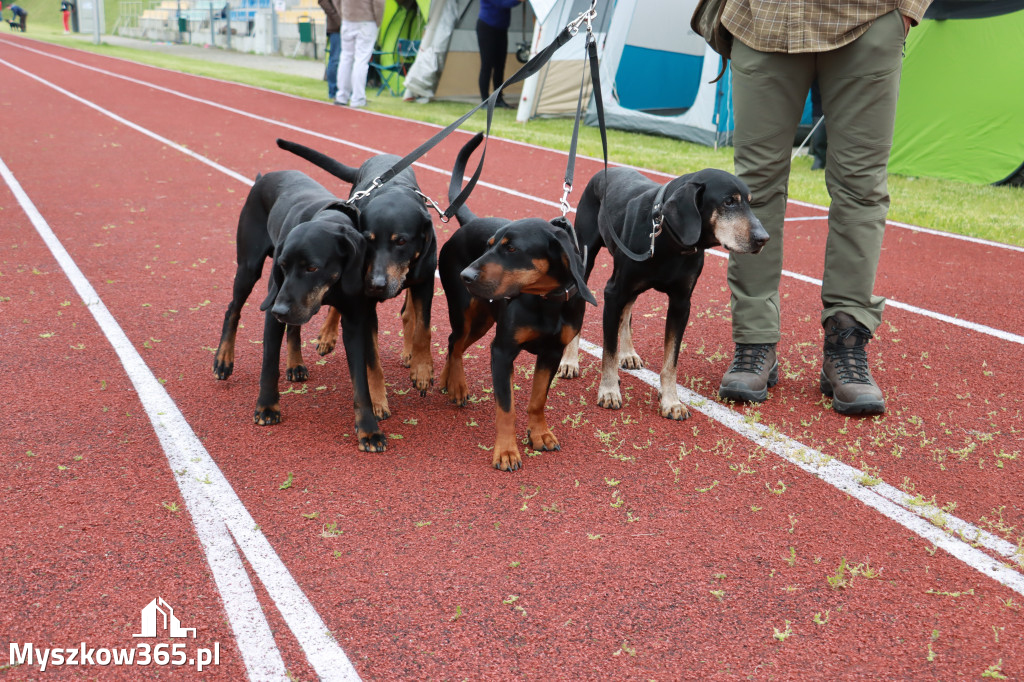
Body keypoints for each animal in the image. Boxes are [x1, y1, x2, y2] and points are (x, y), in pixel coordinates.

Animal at [211, 173, 387, 450]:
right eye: (282, 265)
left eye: (312, 268)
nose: (280, 309)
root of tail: (264, 176)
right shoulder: (273, 308)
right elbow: (269, 365)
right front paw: (267, 407)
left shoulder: (354, 321)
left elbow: (361, 383)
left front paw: (369, 430)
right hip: (249, 268)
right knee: (233, 310)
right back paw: (223, 359)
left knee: (293, 326)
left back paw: (295, 363)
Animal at [276, 138, 436, 417]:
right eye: (368, 241)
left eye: (401, 241)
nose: (376, 285)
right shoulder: (365, 304)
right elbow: (372, 360)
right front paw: (377, 400)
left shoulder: (425, 281)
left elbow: (423, 328)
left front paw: (422, 368)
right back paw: (327, 335)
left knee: (410, 313)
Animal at [436, 135, 598, 471]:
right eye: (488, 246)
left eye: (511, 249)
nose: (466, 274)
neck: (546, 301)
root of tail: (469, 222)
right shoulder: (502, 351)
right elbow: (506, 408)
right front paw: (507, 451)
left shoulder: (552, 352)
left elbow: (537, 400)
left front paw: (540, 434)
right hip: (465, 311)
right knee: (455, 342)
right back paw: (457, 385)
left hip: (484, 320)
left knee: (453, 343)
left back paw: (448, 380)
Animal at [561, 165, 770, 419]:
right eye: (729, 202)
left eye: (750, 202)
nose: (763, 238)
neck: (666, 238)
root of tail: (606, 171)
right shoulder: (613, 293)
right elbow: (608, 352)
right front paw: (609, 391)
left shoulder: (681, 304)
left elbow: (671, 362)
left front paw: (671, 401)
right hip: (585, 260)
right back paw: (570, 360)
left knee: (627, 313)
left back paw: (628, 353)